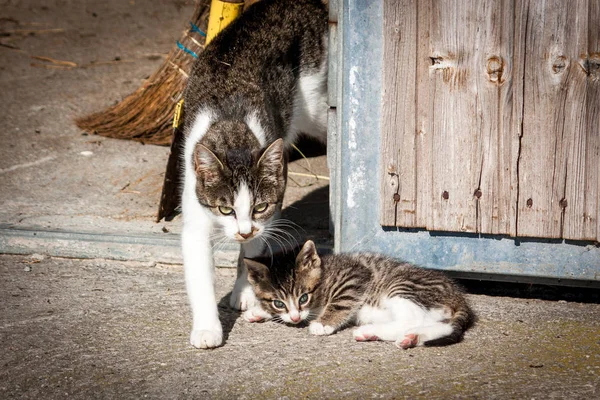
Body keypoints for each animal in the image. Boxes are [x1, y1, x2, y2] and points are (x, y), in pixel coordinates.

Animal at [180, 0, 328, 348]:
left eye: (259, 206)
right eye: (225, 209)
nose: (244, 231)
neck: (232, 132)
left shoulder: (271, 211)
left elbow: (256, 247)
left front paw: (245, 289)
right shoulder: (195, 212)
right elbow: (199, 270)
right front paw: (207, 328)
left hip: (316, 103)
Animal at [244, 241, 474, 346]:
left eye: (303, 297)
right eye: (278, 303)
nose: (294, 317)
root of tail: (458, 295)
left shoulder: (354, 275)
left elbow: (340, 301)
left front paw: (323, 323)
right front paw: (258, 311)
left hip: (402, 286)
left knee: (412, 318)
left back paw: (372, 331)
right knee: (441, 325)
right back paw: (407, 337)